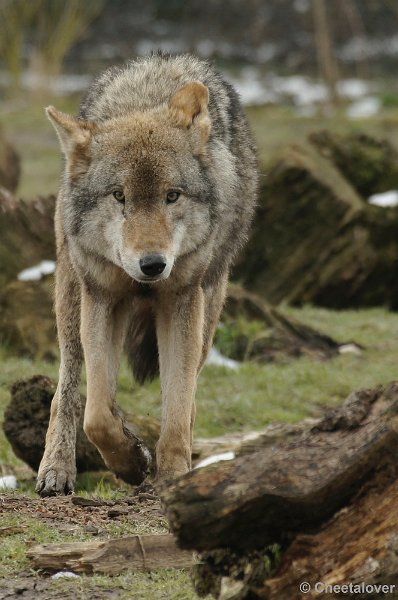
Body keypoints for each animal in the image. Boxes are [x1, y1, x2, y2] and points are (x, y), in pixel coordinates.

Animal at [35, 51, 256, 494]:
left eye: (172, 196)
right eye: (119, 196)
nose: (153, 264)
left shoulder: (181, 301)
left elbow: (177, 404)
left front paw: (171, 476)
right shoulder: (102, 298)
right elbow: (97, 416)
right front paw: (131, 460)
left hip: (209, 306)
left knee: (190, 394)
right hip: (71, 300)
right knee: (66, 390)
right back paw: (56, 469)